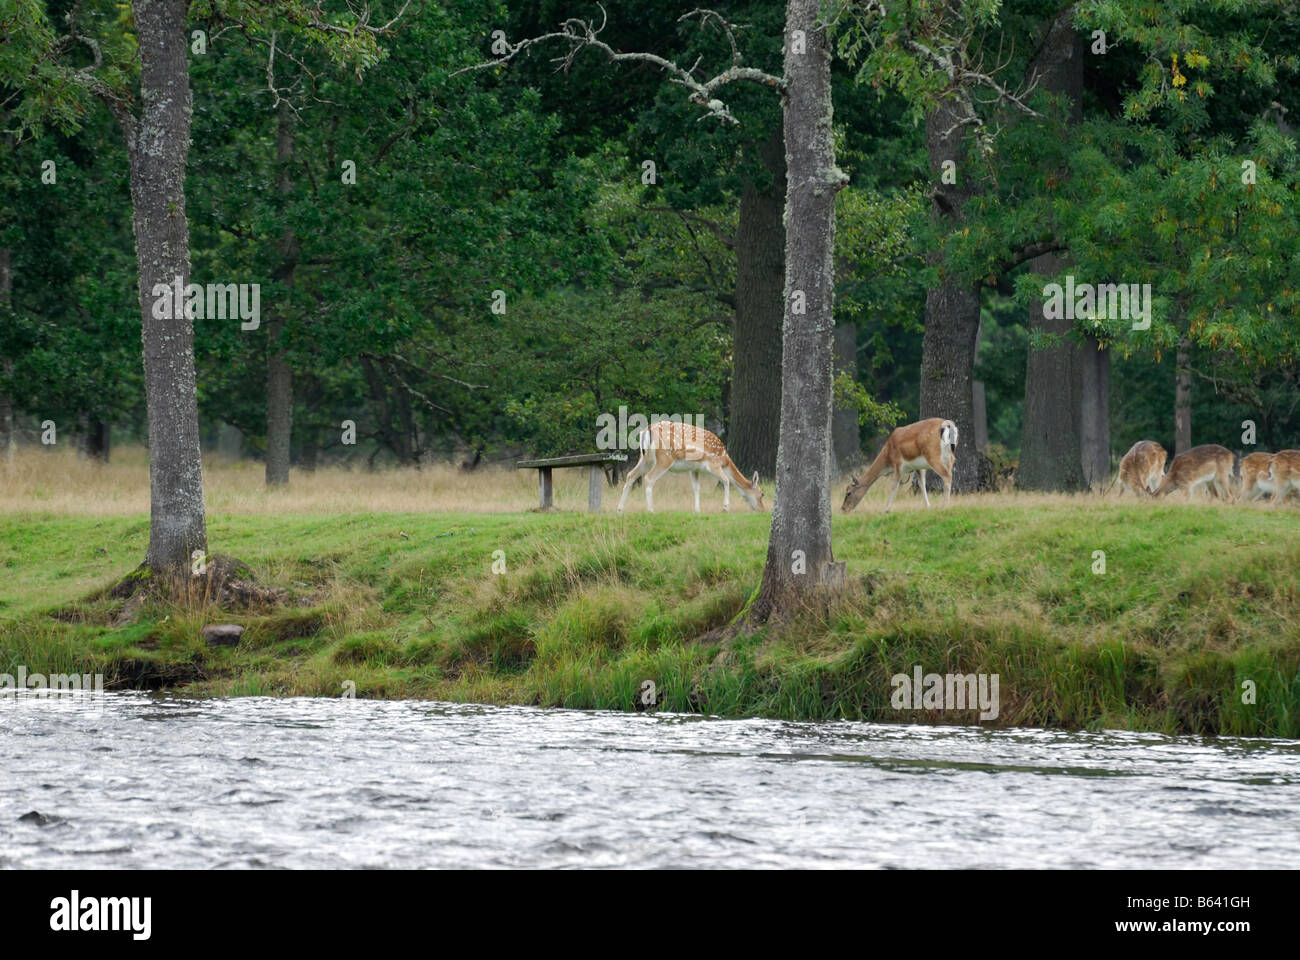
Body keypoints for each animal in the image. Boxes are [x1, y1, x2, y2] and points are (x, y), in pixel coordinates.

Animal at [616, 418, 764, 509]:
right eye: (762, 494)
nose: (762, 510)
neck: (725, 459)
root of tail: (645, 431)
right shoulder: (713, 464)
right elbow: (726, 480)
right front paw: (725, 508)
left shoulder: (694, 469)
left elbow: (697, 487)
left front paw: (697, 510)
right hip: (665, 458)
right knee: (649, 478)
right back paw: (651, 510)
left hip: (645, 458)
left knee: (630, 475)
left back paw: (620, 509)